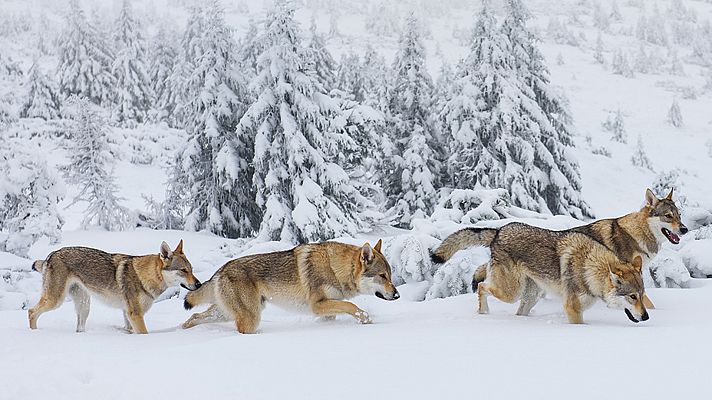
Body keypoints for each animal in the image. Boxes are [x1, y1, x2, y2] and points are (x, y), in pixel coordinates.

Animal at [28, 241, 200, 334]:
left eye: (191, 269)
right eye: (183, 270)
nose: (198, 284)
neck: (144, 276)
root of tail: (51, 255)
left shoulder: (127, 314)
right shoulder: (135, 314)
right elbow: (144, 333)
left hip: (84, 306)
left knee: (78, 328)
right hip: (55, 301)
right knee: (31, 312)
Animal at [181, 239, 398, 332]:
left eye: (390, 276)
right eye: (382, 276)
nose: (397, 295)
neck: (335, 268)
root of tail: (220, 270)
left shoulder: (327, 309)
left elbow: (340, 310)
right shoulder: (317, 305)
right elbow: (352, 305)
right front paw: (366, 319)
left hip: (225, 313)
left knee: (194, 316)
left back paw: (184, 329)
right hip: (250, 317)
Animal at [432, 188, 688, 310]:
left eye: (679, 215)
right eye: (668, 216)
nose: (685, 229)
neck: (636, 234)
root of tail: (499, 231)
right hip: (512, 289)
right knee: (484, 285)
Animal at [476, 223, 648, 324]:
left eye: (641, 295)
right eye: (632, 296)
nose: (646, 317)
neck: (589, 268)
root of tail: (498, 231)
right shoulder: (573, 309)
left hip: (531, 296)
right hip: (512, 293)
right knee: (481, 286)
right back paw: (483, 313)